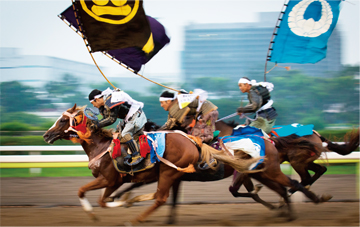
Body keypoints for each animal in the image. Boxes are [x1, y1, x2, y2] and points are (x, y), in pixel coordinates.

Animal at [43, 104, 264, 223]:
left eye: (62, 120)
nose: (46, 135)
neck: (102, 147)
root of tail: (193, 142)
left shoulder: (111, 180)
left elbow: (96, 197)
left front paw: (118, 204)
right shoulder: (120, 181)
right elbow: (97, 197)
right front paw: (121, 202)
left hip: (168, 171)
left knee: (160, 197)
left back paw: (136, 219)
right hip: (172, 173)